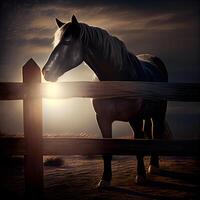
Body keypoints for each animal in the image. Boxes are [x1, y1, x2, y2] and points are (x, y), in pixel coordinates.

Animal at [42, 15, 172, 188]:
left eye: (67, 42)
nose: (46, 72)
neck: (117, 79)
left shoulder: (135, 119)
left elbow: (138, 147)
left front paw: (140, 175)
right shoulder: (103, 119)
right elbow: (107, 149)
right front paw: (105, 179)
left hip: (159, 113)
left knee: (156, 133)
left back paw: (154, 166)